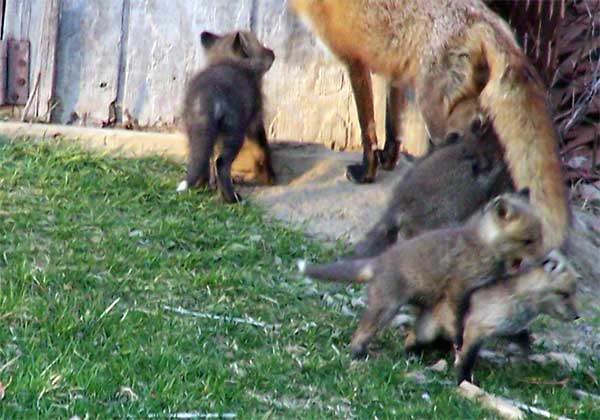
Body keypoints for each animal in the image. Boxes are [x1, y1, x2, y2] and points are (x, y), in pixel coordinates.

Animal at [292, 0, 568, 249]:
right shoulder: (395, 70)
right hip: (463, 106)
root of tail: (485, 19)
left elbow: (367, 125)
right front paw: (389, 160)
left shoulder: (355, 62)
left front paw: (366, 172)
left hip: (432, 110)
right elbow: (393, 125)